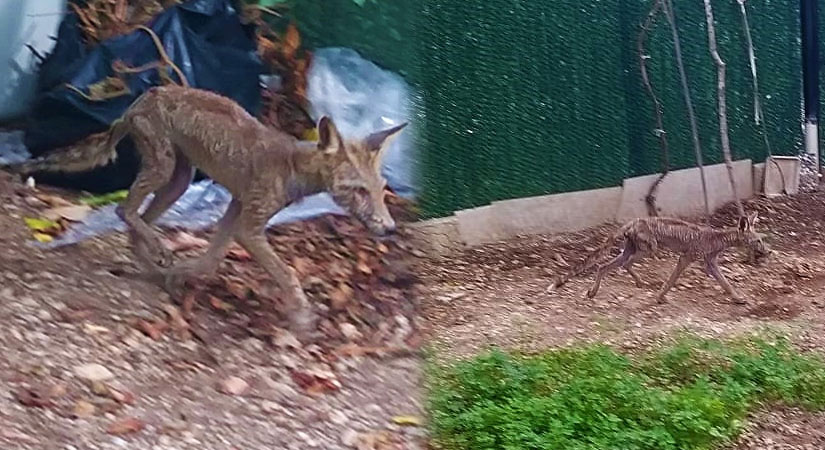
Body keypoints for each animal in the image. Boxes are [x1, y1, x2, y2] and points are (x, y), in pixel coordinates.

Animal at [4, 84, 406, 340]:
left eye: (380, 191)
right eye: (357, 191)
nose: (389, 228)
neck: (291, 167)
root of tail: (140, 99)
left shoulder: (236, 209)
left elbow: (210, 260)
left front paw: (179, 276)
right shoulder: (249, 227)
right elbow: (288, 274)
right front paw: (302, 317)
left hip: (177, 180)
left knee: (135, 221)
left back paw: (154, 266)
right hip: (164, 170)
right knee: (124, 211)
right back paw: (158, 254)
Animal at [552, 213, 768, 304]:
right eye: (757, 241)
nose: (768, 252)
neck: (716, 239)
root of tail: (632, 221)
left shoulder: (710, 263)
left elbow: (726, 284)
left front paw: (738, 299)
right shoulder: (686, 258)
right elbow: (670, 281)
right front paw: (660, 298)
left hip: (632, 251)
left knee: (603, 266)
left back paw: (595, 291)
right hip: (647, 251)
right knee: (613, 265)